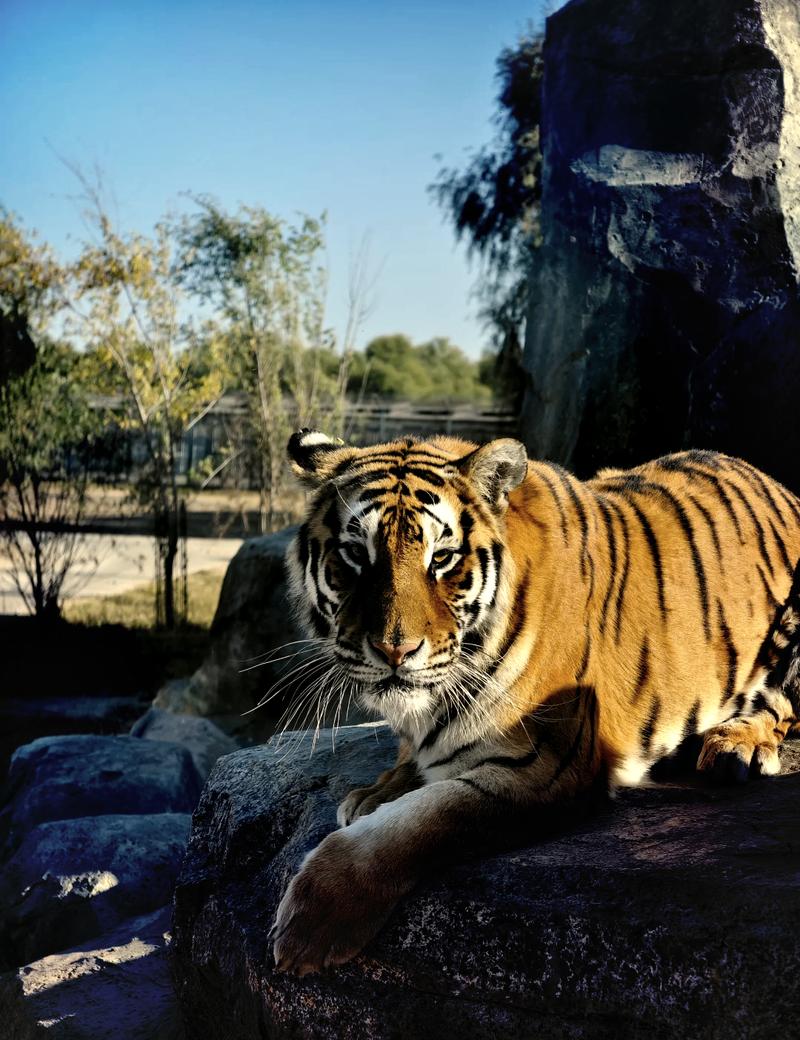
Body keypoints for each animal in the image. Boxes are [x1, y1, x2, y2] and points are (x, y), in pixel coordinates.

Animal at [271, 430, 800, 976]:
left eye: (441, 559)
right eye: (356, 554)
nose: (395, 650)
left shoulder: (547, 765)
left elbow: (422, 820)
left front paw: (312, 921)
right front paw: (377, 791)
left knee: (781, 706)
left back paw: (734, 747)